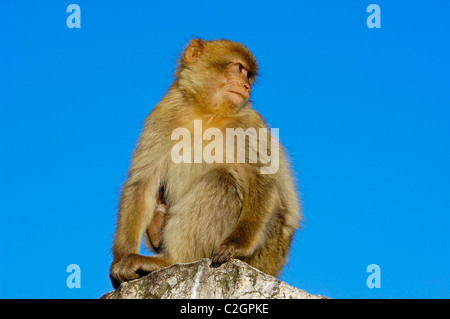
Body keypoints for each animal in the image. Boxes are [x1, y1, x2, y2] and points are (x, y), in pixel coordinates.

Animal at [110, 38, 302, 290]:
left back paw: (170, 260)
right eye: (239, 68)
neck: (206, 112)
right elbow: (142, 182)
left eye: (248, 75)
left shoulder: (248, 124)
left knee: (221, 180)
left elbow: (261, 180)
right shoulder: (163, 114)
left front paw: (236, 244)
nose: (246, 87)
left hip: (267, 250)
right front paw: (121, 260)